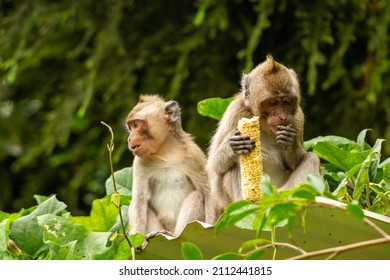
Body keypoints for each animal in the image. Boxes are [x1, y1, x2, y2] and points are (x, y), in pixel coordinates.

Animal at [126, 94, 209, 238]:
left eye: (136, 124)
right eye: (130, 127)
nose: (129, 139)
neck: (166, 153)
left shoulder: (194, 156)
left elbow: (209, 193)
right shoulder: (139, 162)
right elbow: (139, 201)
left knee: (196, 196)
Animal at [207, 54, 320, 223]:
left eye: (287, 101)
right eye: (272, 102)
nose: (282, 116)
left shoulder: (297, 116)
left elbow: (294, 162)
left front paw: (290, 142)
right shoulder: (235, 111)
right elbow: (214, 166)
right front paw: (232, 147)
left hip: (282, 191)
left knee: (311, 158)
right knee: (234, 166)